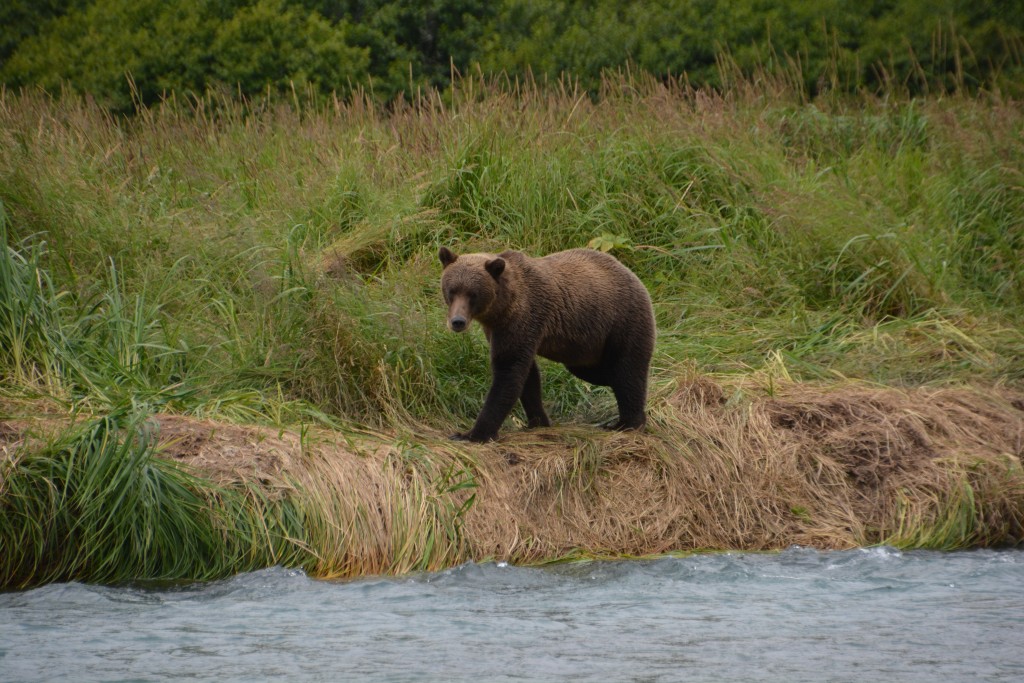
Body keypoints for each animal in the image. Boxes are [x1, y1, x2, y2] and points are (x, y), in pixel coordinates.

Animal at [436, 245, 651, 444]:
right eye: (452, 291)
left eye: (473, 294)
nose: (457, 321)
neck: (502, 308)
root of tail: (632, 273)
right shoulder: (499, 330)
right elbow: (528, 377)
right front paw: (538, 421)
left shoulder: (523, 319)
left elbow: (508, 372)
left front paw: (471, 434)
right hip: (584, 348)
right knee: (600, 372)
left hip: (622, 322)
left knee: (628, 372)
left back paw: (627, 423)